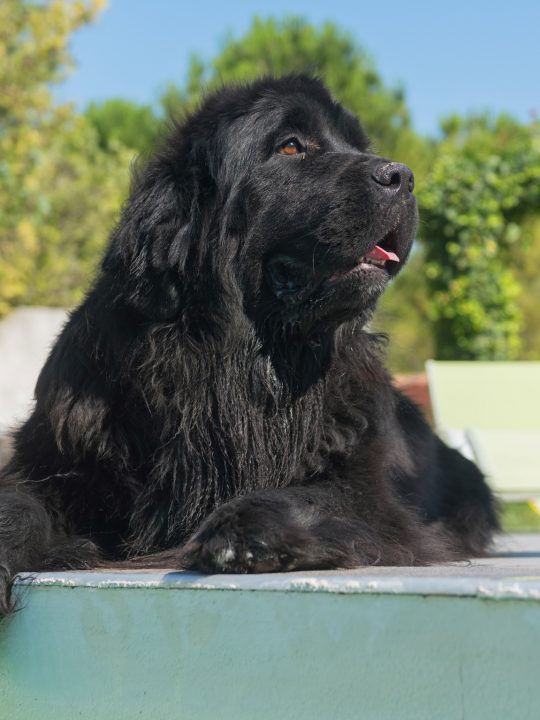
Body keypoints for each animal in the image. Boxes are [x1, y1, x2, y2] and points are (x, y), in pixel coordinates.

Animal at [0, 73, 498, 616]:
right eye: (291, 146)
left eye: (360, 147)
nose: (402, 177)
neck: (245, 360)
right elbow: (17, 499)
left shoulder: (370, 492)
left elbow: (313, 494)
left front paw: (244, 528)